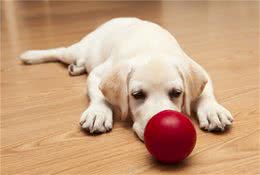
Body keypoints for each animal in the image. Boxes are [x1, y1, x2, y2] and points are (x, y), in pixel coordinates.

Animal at [19, 17, 233, 141]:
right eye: (137, 95)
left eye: (177, 93)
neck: (152, 48)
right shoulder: (99, 74)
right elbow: (99, 95)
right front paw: (98, 113)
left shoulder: (198, 68)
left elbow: (206, 93)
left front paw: (213, 111)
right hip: (79, 49)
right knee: (61, 51)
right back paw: (30, 56)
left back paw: (76, 67)